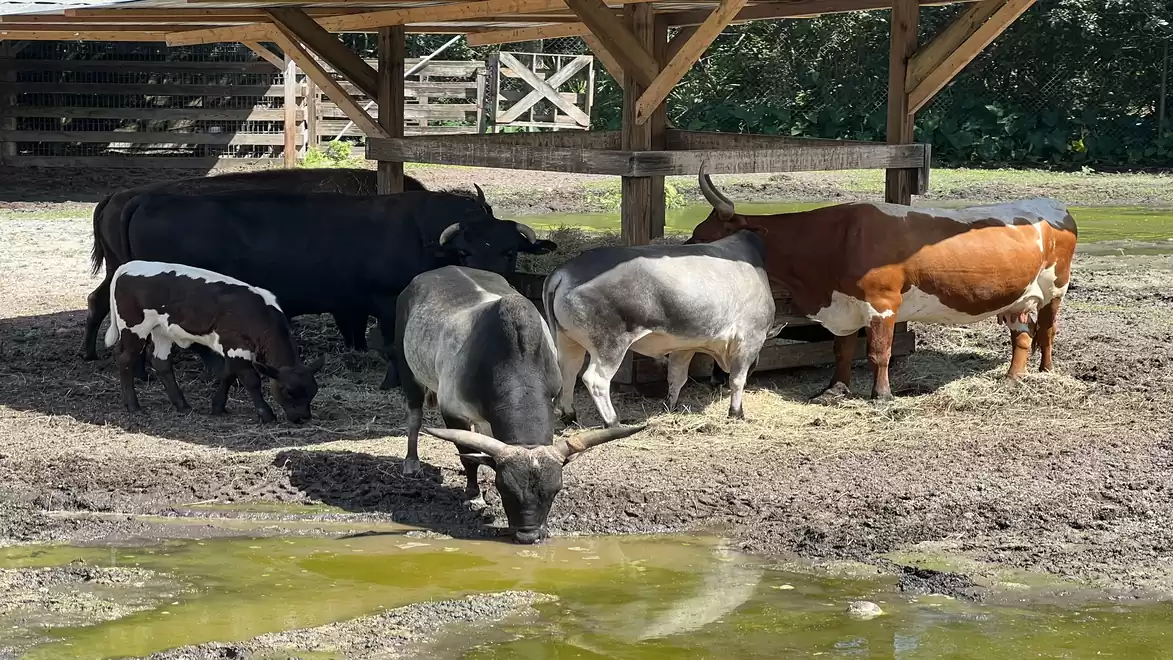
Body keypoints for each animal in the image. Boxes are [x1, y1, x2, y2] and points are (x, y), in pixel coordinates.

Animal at [105, 260, 324, 423]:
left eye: (313, 392)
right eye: (288, 392)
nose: (303, 418)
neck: (257, 313)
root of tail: (129, 265)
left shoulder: (231, 348)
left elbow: (228, 375)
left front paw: (218, 406)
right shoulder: (237, 346)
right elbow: (250, 380)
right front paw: (266, 414)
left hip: (161, 331)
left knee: (161, 363)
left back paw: (182, 405)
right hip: (135, 328)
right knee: (125, 359)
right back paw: (133, 406)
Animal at [112, 187, 555, 391]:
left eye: (510, 251)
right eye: (463, 251)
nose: (488, 283)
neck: (419, 234)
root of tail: (151, 197)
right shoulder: (386, 301)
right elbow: (392, 343)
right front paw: (393, 381)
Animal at [394, 265, 646, 544]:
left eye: (555, 489)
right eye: (503, 487)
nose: (529, 535)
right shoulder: (453, 411)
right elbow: (467, 458)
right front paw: (474, 495)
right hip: (408, 370)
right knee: (414, 416)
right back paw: (411, 462)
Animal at [543, 231, 782, 428]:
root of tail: (564, 272)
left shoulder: (684, 346)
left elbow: (677, 377)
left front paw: (671, 406)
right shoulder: (749, 338)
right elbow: (737, 379)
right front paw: (736, 413)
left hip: (567, 339)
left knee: (569, 370)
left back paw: (570, 415)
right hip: (610, 345)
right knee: (595, 380)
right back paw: (613, 422)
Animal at [689, 163, 1078, 401]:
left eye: (703, 235)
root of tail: (1055, 205)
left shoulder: (883, 305)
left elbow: (879, 352)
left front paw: (882, 395)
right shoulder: (843, 307)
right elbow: (842, 350)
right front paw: (835, 389)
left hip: (1055, 289)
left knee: (1046, 331)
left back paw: (1045, 372)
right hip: (1017, 299)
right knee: (1023, 336)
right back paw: (1013, 377)